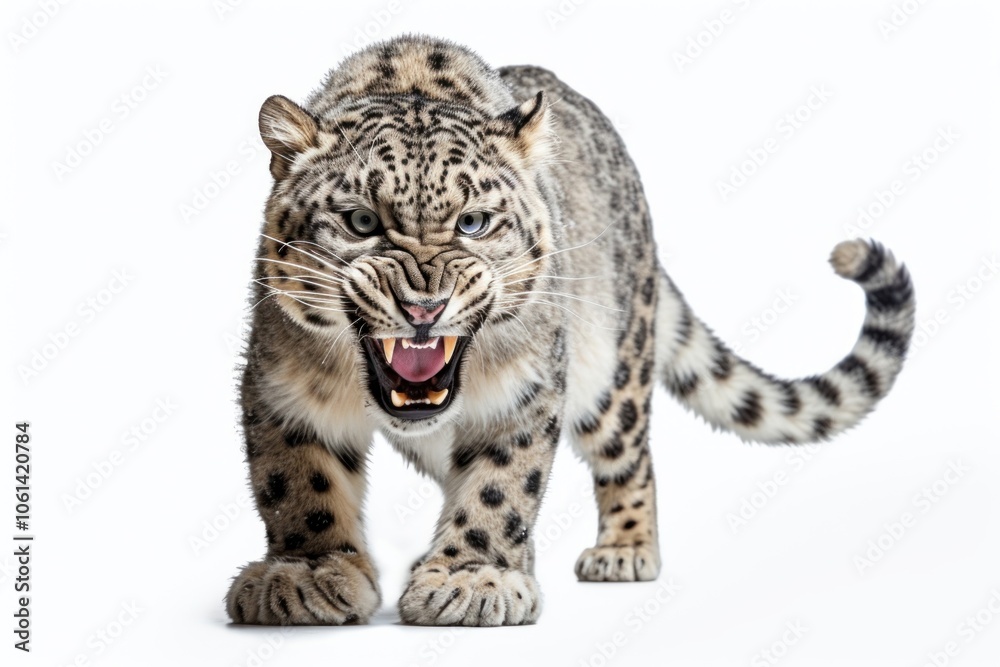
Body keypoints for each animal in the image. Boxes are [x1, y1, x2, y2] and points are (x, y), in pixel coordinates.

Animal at [225, 35, 915, 627]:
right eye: (361, 220)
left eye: (474, 221)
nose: (425, 306)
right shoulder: (279, 390)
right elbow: (299, 485)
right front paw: (307, 576)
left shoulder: (526, 389)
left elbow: (502, 486)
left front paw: (471, 579)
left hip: (615, 369)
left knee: (630, 453)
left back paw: (624, 551)